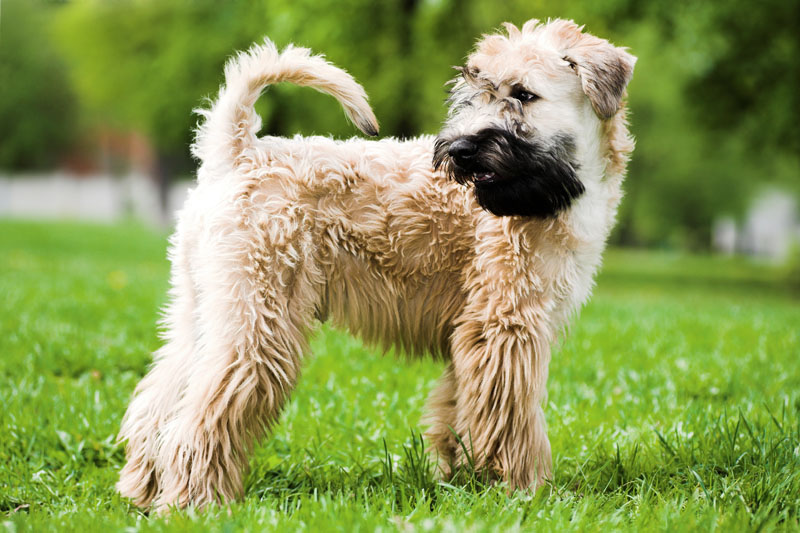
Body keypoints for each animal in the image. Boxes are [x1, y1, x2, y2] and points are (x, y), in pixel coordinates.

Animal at [115, 18, 636, 510]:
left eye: (524, 94)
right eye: (474, 92)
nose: (459, 150)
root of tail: (238, 152)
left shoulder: (471, 333)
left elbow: (461, 411)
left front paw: (461, 480)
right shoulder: (506, 326)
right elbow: (513, 418)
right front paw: (525, 490)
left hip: (204, 311)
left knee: (159, 404)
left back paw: (142, 490)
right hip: (260, 324)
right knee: (199, 417)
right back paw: (193, 501)